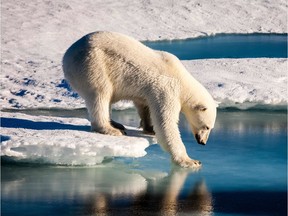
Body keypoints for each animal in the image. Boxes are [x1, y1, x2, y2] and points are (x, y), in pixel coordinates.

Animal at [62, 31, 216, 168]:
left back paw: (116, 124)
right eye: (207, 127)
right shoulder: (167, 89)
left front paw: (149, 128)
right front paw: (190, 161)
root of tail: (67, 55)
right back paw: (111, 129)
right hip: (92, 64)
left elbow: (144, 105)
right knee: (100, 94)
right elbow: (166, 123)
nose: (203, 142)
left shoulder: (148, 91)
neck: (182, 80)